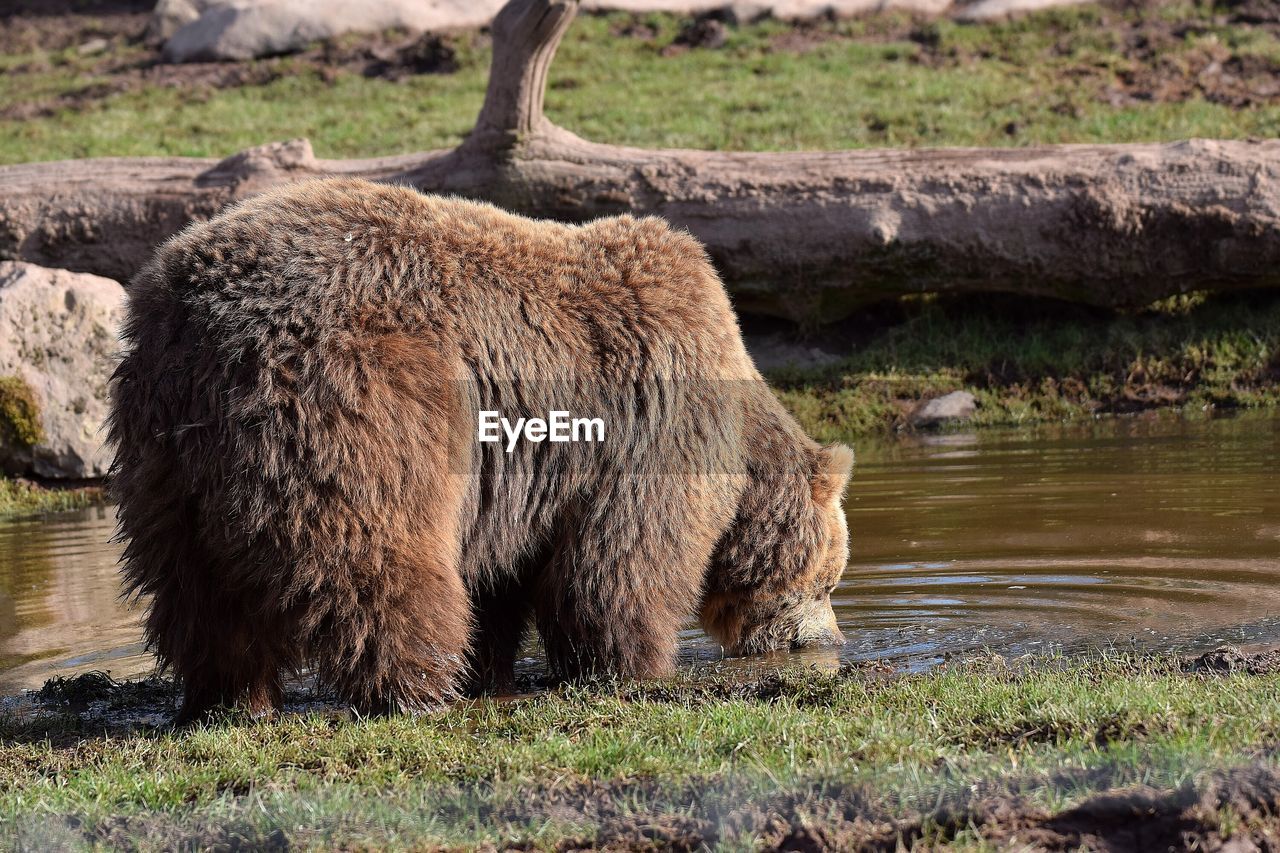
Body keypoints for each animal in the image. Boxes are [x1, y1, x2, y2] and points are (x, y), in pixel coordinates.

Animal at [110, 175, 849, 722]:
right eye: (828, 579)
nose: (832, 638)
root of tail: (200, 317)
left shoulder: (522, 482)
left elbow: (503, 578)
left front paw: (491, 668)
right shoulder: (647, 423)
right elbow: (619, 562)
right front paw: (632, 663)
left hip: (163, 450)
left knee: (196, 590)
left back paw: (230, 697)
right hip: (361, 397)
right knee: (376, 554)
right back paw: (415, 687)